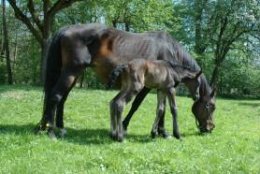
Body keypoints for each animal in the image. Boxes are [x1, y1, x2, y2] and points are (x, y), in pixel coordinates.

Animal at [36, 23, 215, 140]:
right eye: (209, 106)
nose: (210, 128)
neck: (169, 51)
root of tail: (66, 29)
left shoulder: (159, 87)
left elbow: (159, 109)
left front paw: (159, 131)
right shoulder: (149, 87)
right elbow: (138, 106)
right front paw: (127, 126)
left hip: (74, 74)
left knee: (62, 99)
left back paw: (59, 128)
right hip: (71, 71)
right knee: (55, 96)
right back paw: (51, 131)